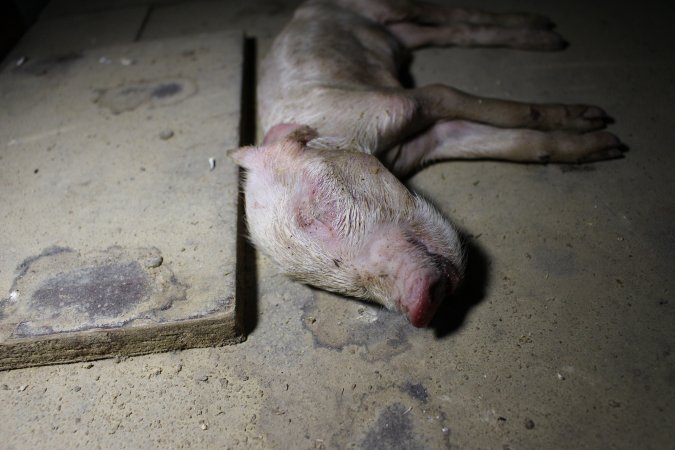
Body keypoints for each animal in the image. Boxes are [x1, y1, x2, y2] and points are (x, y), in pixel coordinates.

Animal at [230, 0, 624, 326]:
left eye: (315, 211)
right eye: (320, 277)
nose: (419, 308)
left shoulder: (400, 103)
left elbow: (469, 99)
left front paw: (606, 133)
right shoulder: (428, 142)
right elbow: (503, 141)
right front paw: (605, 147)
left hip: (383, 6)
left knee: (446, 13)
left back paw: (549, 35)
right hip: (399, 33)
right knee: (437, 32)